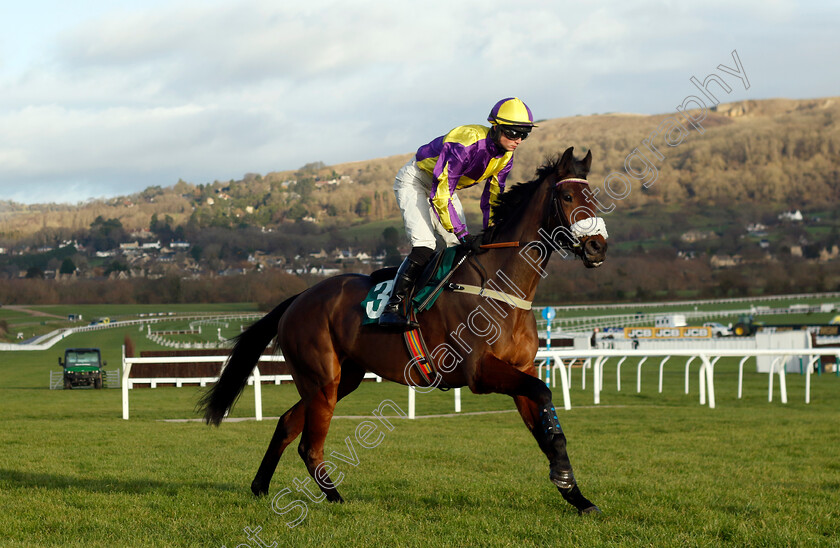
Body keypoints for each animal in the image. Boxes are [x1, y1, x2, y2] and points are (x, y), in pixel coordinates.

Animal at [202, 146, 612, 512]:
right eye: (568, 195)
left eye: (594, 197)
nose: (597, 248)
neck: (500, 285)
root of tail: (300, 297)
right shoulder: (481, 372)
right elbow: (544, 394)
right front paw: (566, 482)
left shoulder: (520, 369)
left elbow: (548, 428)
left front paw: (575, 495)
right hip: (321, 378)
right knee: (309, 444)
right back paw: (335, 499)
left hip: (342, 378)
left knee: (287, 424)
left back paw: (260, 486)